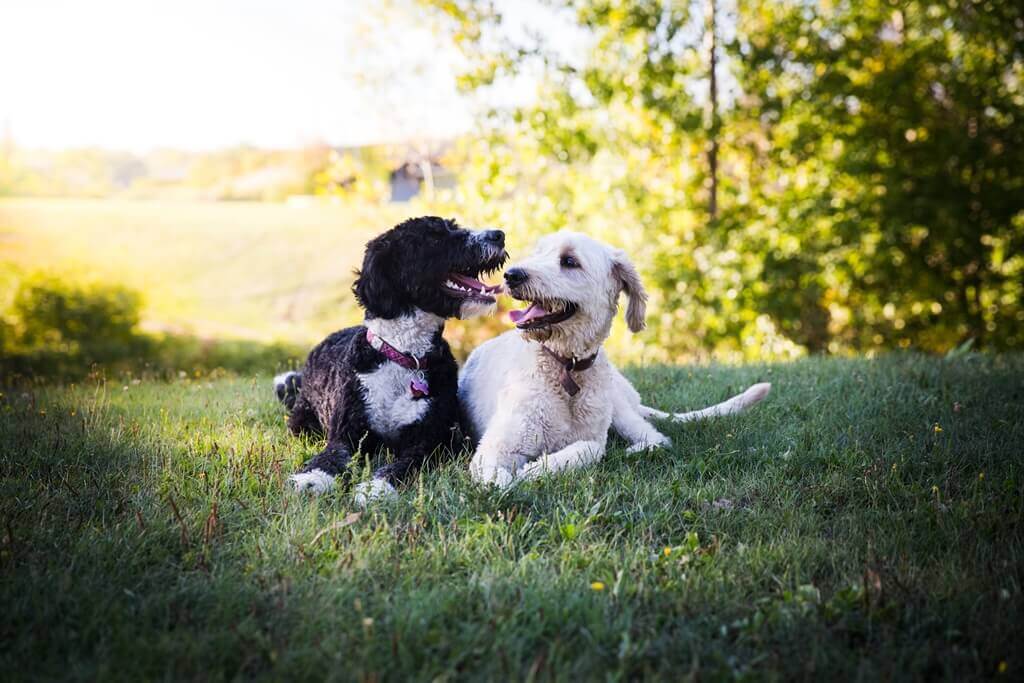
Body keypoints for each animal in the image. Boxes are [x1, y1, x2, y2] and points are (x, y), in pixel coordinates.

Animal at [274, 216, 505, 505]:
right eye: (435, 237)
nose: (499, 235)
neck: (405, 357)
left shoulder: (432, 441)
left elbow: (405, 464)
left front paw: (377, 487)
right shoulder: (347, 434)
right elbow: (330, 456)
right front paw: (311, 478)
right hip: (301, 423)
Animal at [460, 233, 770, 485]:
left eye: (569, 261)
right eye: (538, 253)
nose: (511, 275)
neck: (566, 367)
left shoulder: (592, 439)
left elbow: (589, 450)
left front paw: (535, 470)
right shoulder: (495, 446)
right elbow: (495, 477)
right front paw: (511, 479)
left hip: (619, 406)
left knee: (657, 437)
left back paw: (636, 451)